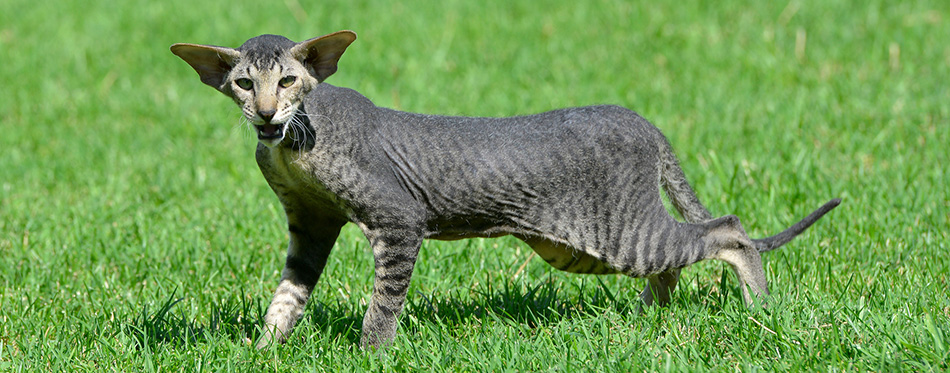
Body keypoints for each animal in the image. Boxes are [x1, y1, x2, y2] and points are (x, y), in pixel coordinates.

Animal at [169, 30, 840, 348]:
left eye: (288, 81)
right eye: (241, 83)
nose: (263, 113)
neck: (290, 147)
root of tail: (642, 120)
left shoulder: (398, 220)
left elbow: (382, 307)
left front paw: (369, 354)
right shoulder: (310, 223)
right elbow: (286, 298)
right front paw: (263, 350)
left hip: (614, 231)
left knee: (728, 231)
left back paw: (759, 307)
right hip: (581, 246)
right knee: (676, 258)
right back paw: (650, 320)